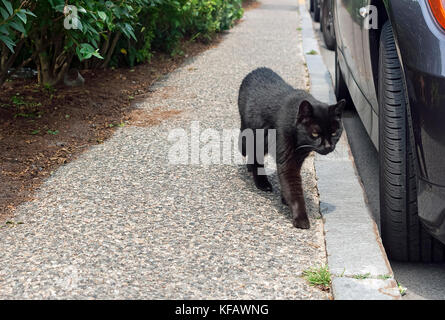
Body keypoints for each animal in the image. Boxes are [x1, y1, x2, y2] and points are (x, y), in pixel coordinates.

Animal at [238, 67, 346, 228]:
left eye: (334, 132)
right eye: (315, 133)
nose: (328, 146)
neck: (300, 144)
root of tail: (255, 71)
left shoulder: (298, 159)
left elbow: (288, 183)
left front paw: (285, 198)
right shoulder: (288, 160)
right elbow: (294, 188)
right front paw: (301, 218)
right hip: (253, 135)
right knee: (251, 152)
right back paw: (262, 183)